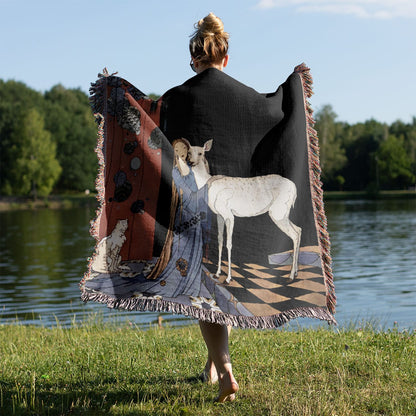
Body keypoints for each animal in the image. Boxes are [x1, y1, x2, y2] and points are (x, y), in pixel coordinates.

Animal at [180, 140, 300, 282]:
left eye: (201, 153)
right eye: (188, 152)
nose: (191, 162)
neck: (208, 183)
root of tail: (294, 188)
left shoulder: (229, 215)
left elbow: (229, 243)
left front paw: (228, 278)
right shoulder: (219, 215)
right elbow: (220, 240)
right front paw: (217, 273)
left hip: (278, 212)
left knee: (294, 234)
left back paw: (291, 276)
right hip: (283, 213)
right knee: (299, 230)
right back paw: (296, 272)